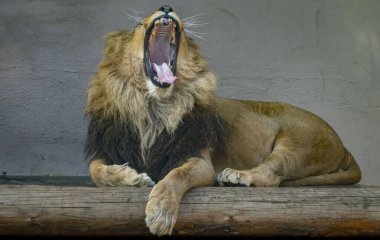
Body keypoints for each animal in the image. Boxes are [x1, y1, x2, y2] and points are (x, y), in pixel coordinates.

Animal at [84, 5, 360, 236]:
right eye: (138, 25)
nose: (166, 7)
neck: (155, 108)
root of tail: (345, 146)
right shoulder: (107, 150)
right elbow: (95, 171)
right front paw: (132, 178)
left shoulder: (198, 158)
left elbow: (175, 176)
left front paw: (161, 212)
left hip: (297, 142)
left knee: (272, 176)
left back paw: (235, 176)